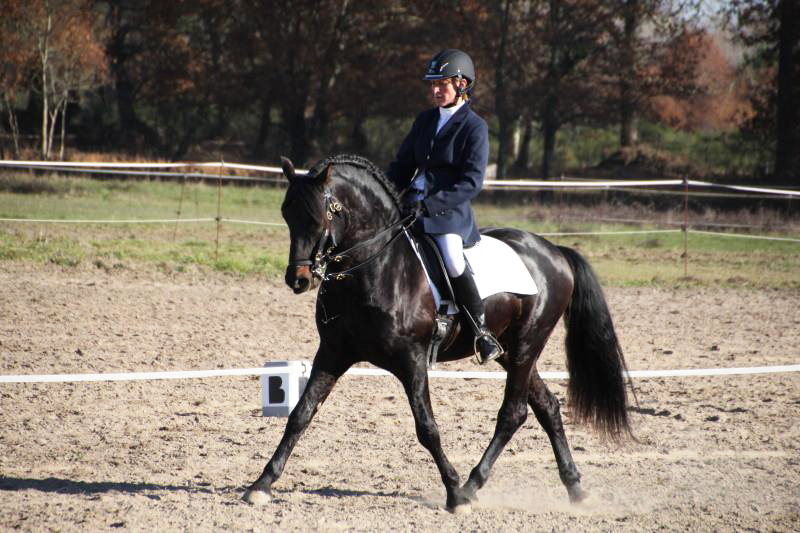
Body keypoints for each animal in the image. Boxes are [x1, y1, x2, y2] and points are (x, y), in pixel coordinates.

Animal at [244, 154, 632, 512]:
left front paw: (454, 494)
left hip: (526, 345)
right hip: (511, 352)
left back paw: (472, 486)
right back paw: (575, 488)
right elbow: (300, 415)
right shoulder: (333, 353)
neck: (374, 268)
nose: (298, 279)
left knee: (513, 413)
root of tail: (554, 251)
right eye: (286, 214)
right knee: (547, 407)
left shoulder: (412, 361)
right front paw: (261, 484)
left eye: (319, 217)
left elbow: (427, 428)